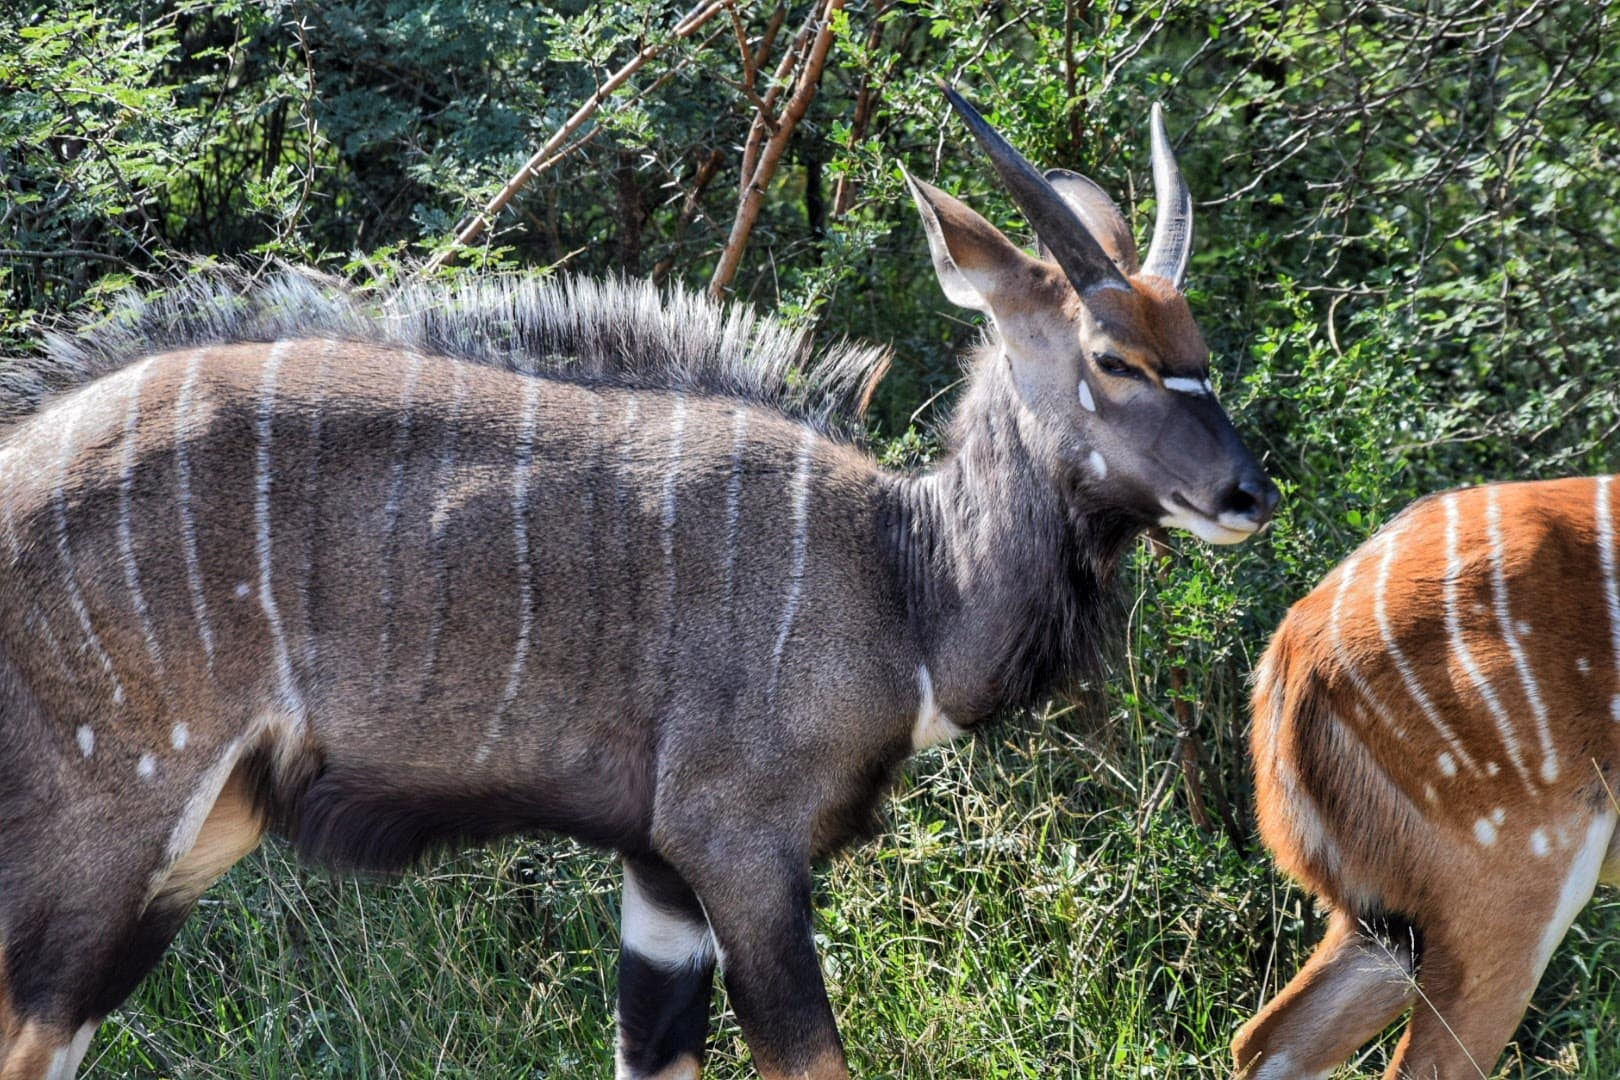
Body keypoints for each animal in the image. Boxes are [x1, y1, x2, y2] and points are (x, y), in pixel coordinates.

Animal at [0, 88, 1276, 1075]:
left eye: (1199, 347)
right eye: (1117, 359)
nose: (1248, 494)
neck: (905, 587)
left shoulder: (659, 876)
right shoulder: (736, 843)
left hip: (192, 843)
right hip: (109, 834)